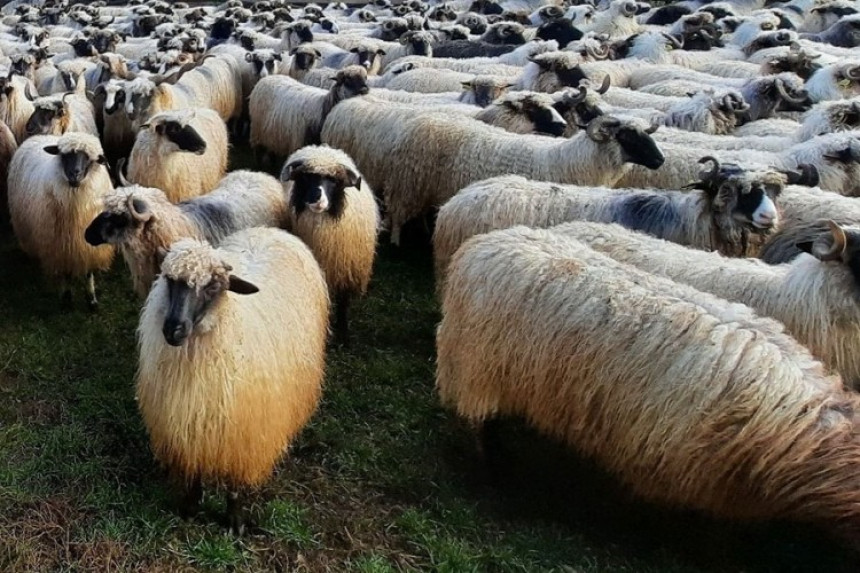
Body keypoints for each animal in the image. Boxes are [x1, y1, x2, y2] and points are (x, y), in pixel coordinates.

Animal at [7, 131, 114, 308]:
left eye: (89, 159)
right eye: (64, 156)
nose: (74, 175)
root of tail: (40, 136)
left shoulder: (88, 243)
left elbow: (88, 272)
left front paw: (91, 299)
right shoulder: (60, 243)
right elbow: (66, 273)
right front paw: (67, 298)